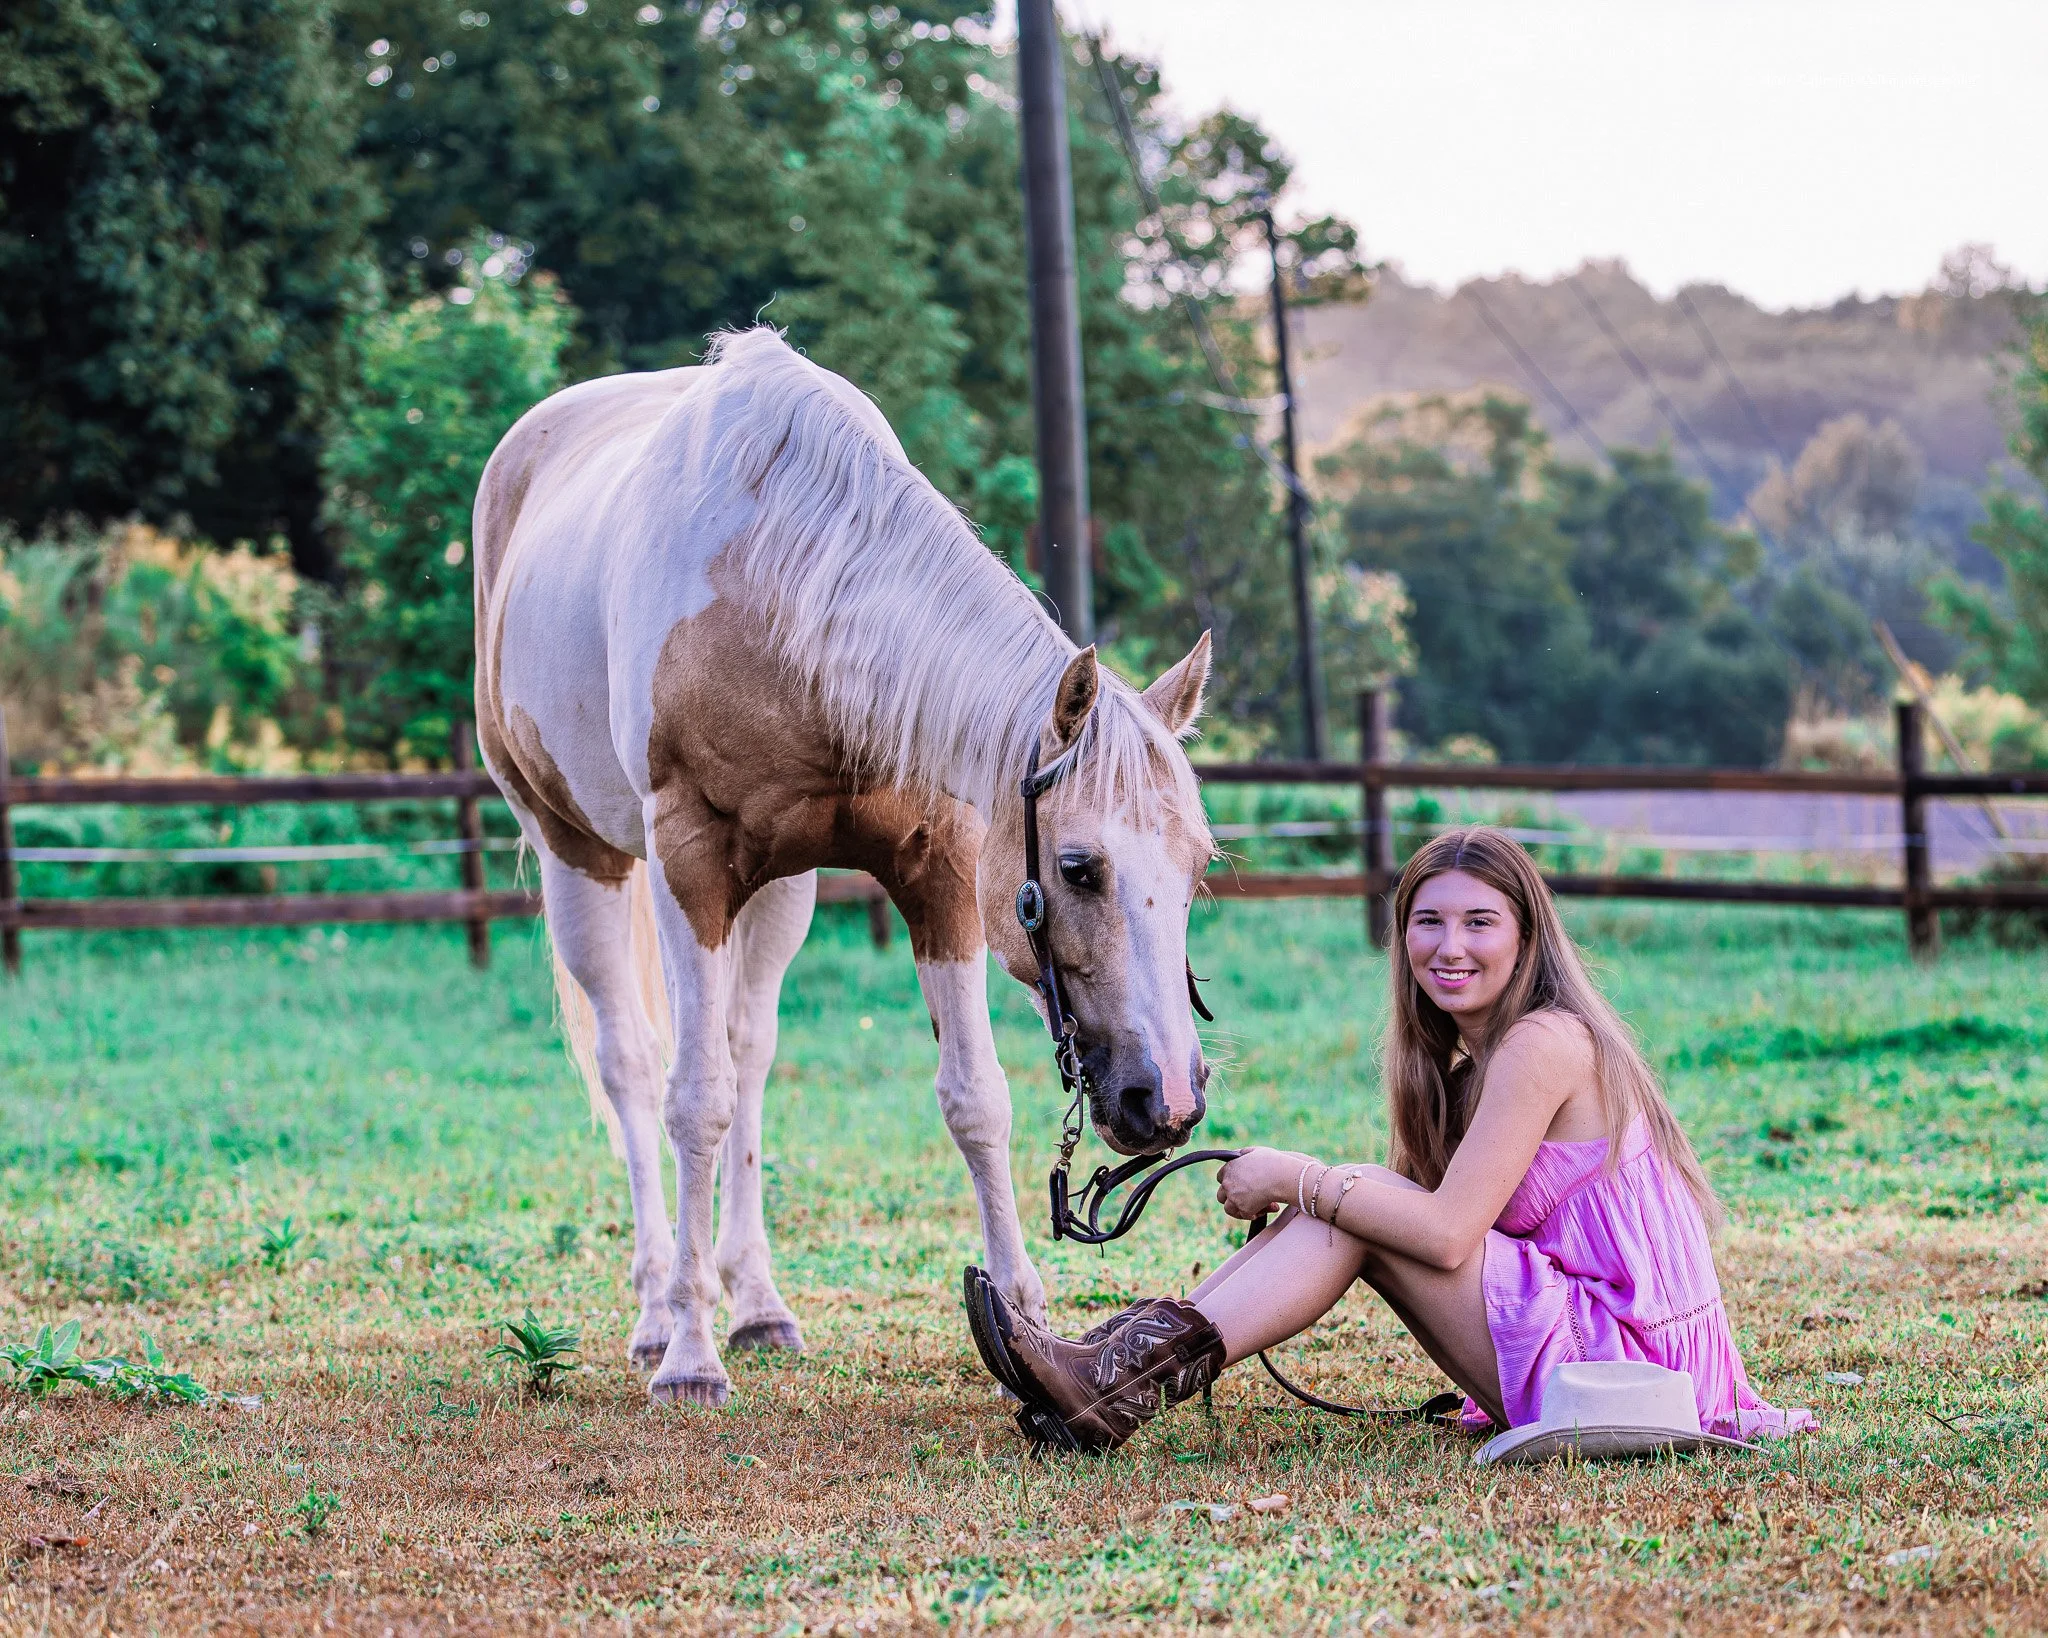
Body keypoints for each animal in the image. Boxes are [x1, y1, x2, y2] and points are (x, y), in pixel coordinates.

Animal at [472, 326, 1216, 1406]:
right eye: (1080, 868)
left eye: (1197, 870)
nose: (1166, 1101)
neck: (784, 588)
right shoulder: (689, 866)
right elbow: (691, 1101)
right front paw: (690, 1357)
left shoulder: (938, 871)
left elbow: (973, 1097)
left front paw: (1027, 1326)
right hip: (582, 857)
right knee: (633, 1067)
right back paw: (659, 1313)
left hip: (779, 892)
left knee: (749, 1053)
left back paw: (756, 1305)